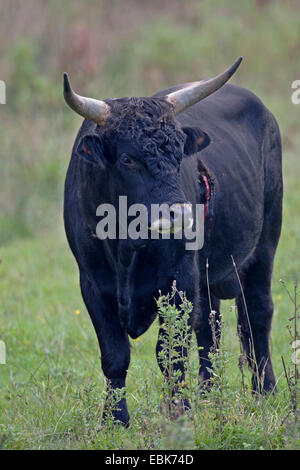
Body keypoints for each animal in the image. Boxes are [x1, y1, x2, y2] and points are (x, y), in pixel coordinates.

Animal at [62, 78, 282, 426]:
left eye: (179, 154)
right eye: (128, 159)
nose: (180, 214)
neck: (127, 247)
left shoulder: (181, 282)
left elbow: (171, 353)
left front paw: (180, 412)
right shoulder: (93, 285)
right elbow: (114, 355)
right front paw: (115, 419)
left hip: (264, 244)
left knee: (257, 314)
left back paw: (265, 390)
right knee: (210, 326)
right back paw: (209, 395)